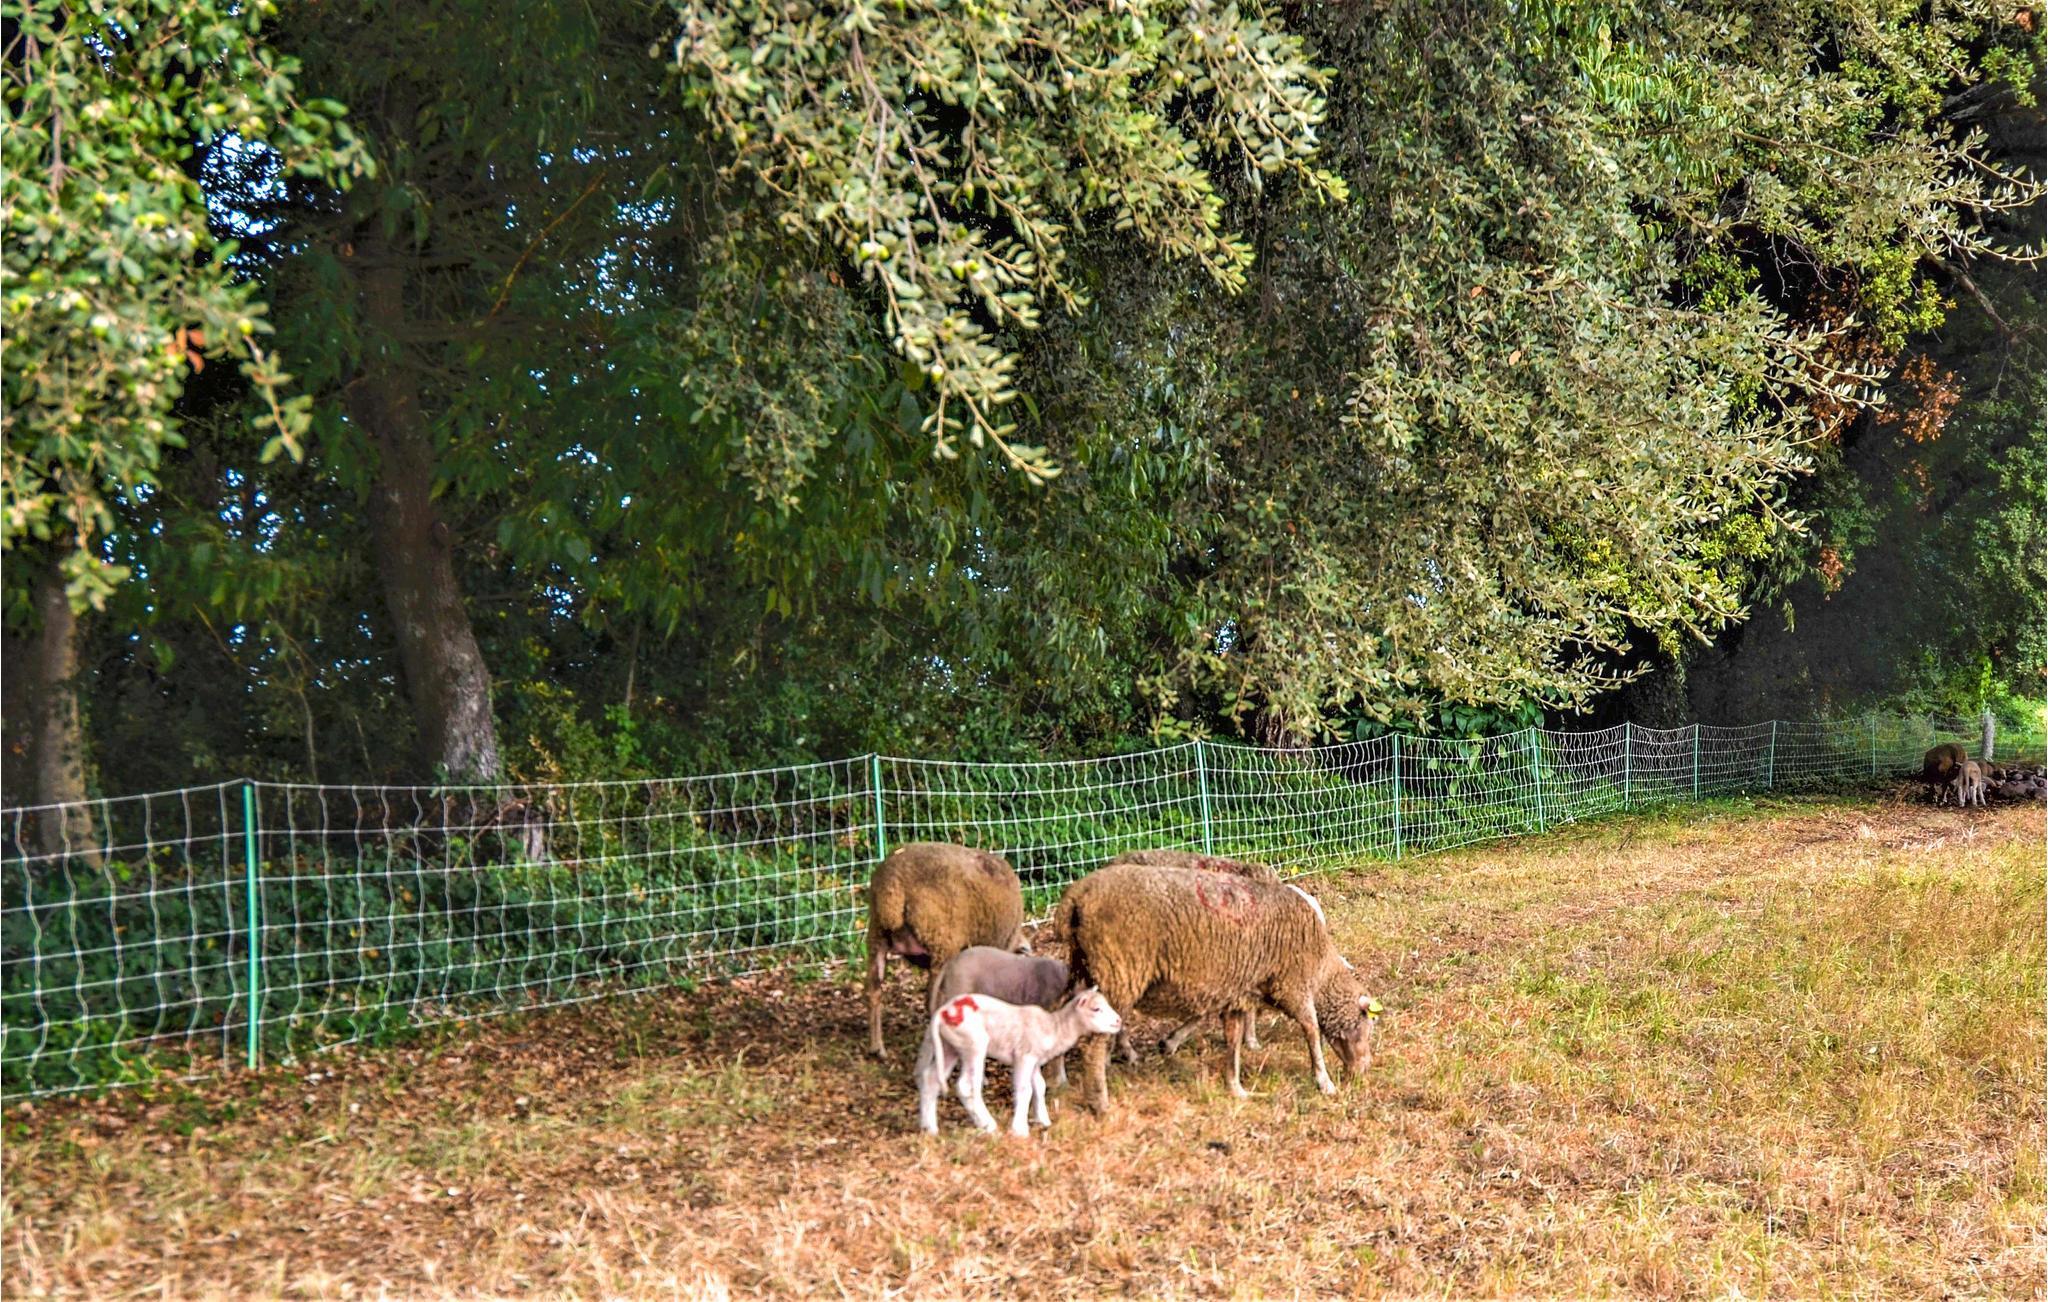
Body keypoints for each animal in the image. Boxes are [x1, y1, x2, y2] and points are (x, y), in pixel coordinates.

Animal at [866, 842, 1029, 1058]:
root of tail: (894, 881)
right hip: (941, 942)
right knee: (932, 1003)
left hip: (877, 937)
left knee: (874, 991)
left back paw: (877, 1048)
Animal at [916, 988, 1124, 1137]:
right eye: (1096, 1009)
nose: (1118, 1021)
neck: (1054, 1028)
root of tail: (942, 1012)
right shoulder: (1024, 1055)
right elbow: (1025, 1090)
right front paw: (1020, 1130)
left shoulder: (1035, 1060)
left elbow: (1040, 1087)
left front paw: (1043, 1120)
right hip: (972, 1042)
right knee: (966, 1086)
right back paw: (988, 1125)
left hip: (950, 1045)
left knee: (931, 1079)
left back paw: (930, 1128)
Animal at [1052, 861, 1378, 1112]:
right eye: (1367, 1028)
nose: (1363, 1072)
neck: (1321, 971)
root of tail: (1077, 897)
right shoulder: (1291, 986)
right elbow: (1311, 1030)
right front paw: (1325, 1082)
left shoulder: (1237, 994)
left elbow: (1233, 1043)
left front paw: (1236, 1089)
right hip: (1118, 971)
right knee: (1094, 1042)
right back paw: (1100, 1101)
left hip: (1082, 967)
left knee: (1061, 1013)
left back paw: (1059, 1079)